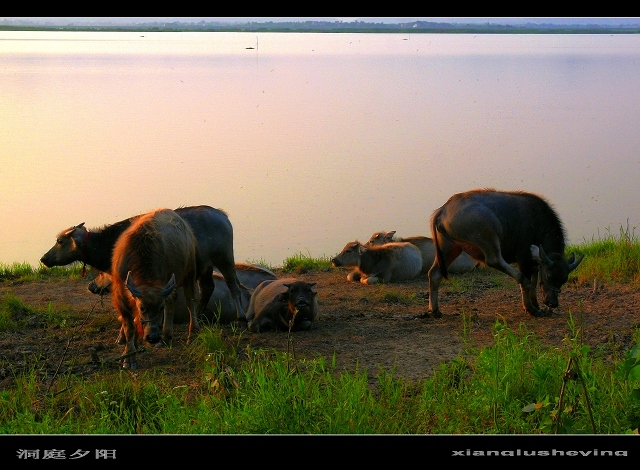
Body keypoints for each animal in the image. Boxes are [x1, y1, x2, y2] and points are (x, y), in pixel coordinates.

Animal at [38, 206, 246, 324]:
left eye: (60, 241)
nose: (43, 258)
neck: (109, 243)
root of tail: (222, 215)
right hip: (205, 266)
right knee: (207, 288)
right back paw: (200, 316)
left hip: (225, 259)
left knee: (233, 286)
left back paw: (241, 316)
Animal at [111, 207, 198, 370]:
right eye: (142, 307)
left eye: (160, 308)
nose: (153, 337)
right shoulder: (120, 295)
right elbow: (129, 326)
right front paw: (128, 354)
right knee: (172, 303)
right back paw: (166, 336)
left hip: (190, 273)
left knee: (191, 302)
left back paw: (191, 334)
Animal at [424, 189, 584, 318]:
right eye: (549, 276)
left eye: (564, 280)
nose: (553, 303)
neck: (538, 223)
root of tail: (443, 209)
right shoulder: (524, 259)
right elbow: (529, 282)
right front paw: (530, 308)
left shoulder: (534, 264)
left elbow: (534, 280)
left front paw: (536, 305)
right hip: (489, 234)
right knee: (495, 260)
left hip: (450, 247)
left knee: (435, 273)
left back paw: (435, 310)